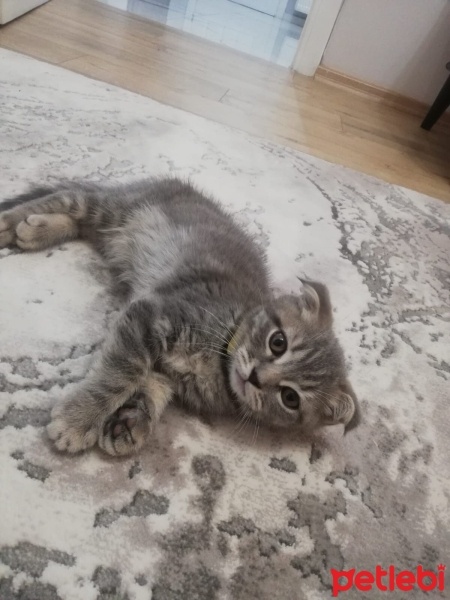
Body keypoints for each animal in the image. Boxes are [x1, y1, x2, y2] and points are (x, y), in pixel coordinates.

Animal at [0, 177, 360, 454]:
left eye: (290, 398)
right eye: (278, 342)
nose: (256, 377)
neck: (219, 362)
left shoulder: (166, 366)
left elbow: (152, 386)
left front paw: (131, 422)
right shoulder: (151, 314)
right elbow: (121, 373)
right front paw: (79, 421)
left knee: (80, 221)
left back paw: (34, 229)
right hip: (115, 206)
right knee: (65, 197)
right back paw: (13, 224)